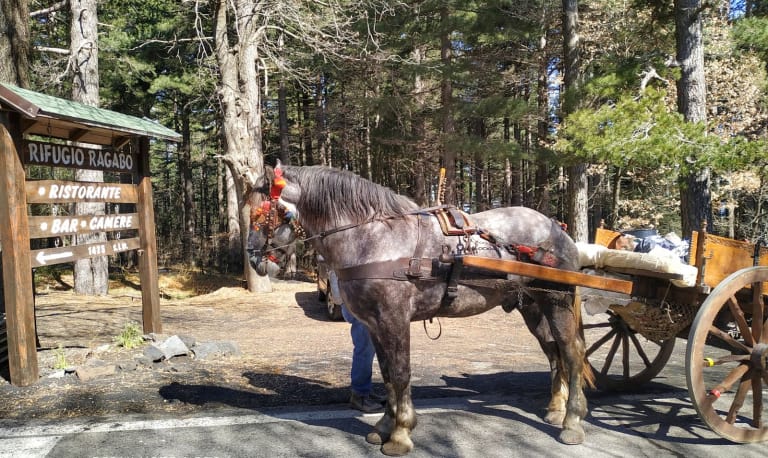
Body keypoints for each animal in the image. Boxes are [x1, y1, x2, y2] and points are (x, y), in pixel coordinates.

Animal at [250, 163, 591, 455]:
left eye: (262, 213)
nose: (253, 257)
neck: (373, 238)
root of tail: (556, 228)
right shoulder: (375, 324)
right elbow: (387, 374)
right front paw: (385, 426)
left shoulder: (394, 319)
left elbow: (401, 374)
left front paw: (400, 434)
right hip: (534, 306)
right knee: (554, 352)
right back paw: (555, 408)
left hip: (557, 302)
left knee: (572, 353)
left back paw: (572, 422)